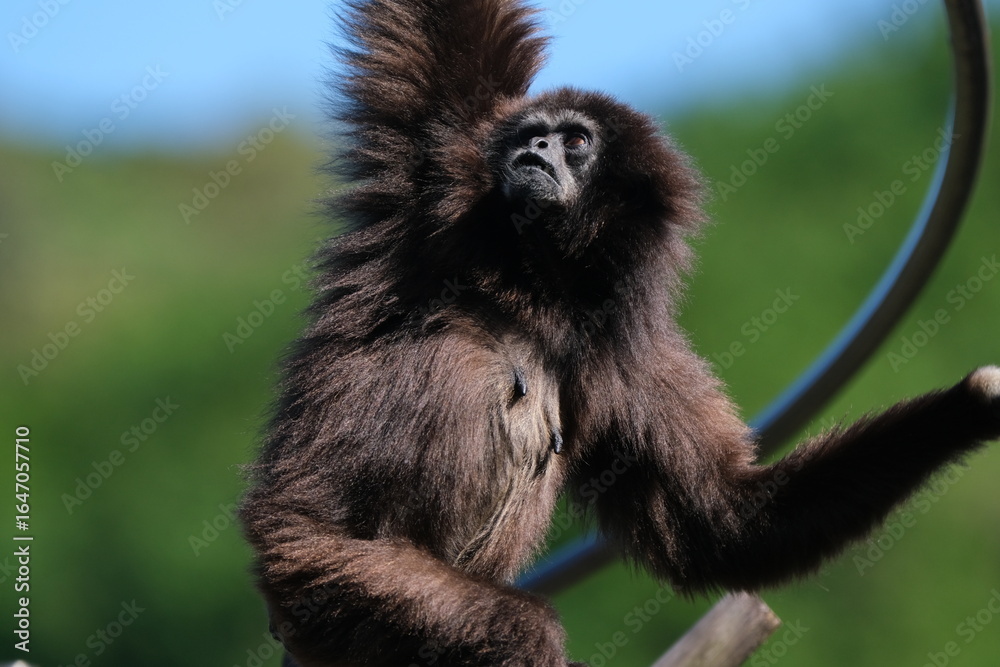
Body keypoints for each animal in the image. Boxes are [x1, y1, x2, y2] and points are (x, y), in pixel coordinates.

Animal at [238, 0, 1000, 665]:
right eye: (533, 133)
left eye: (575, 140)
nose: (535, 146)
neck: (539, 287)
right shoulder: (442, 175)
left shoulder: (629, 357)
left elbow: (722, 523)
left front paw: (972, 405)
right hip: (320, 568)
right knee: (511, 624)